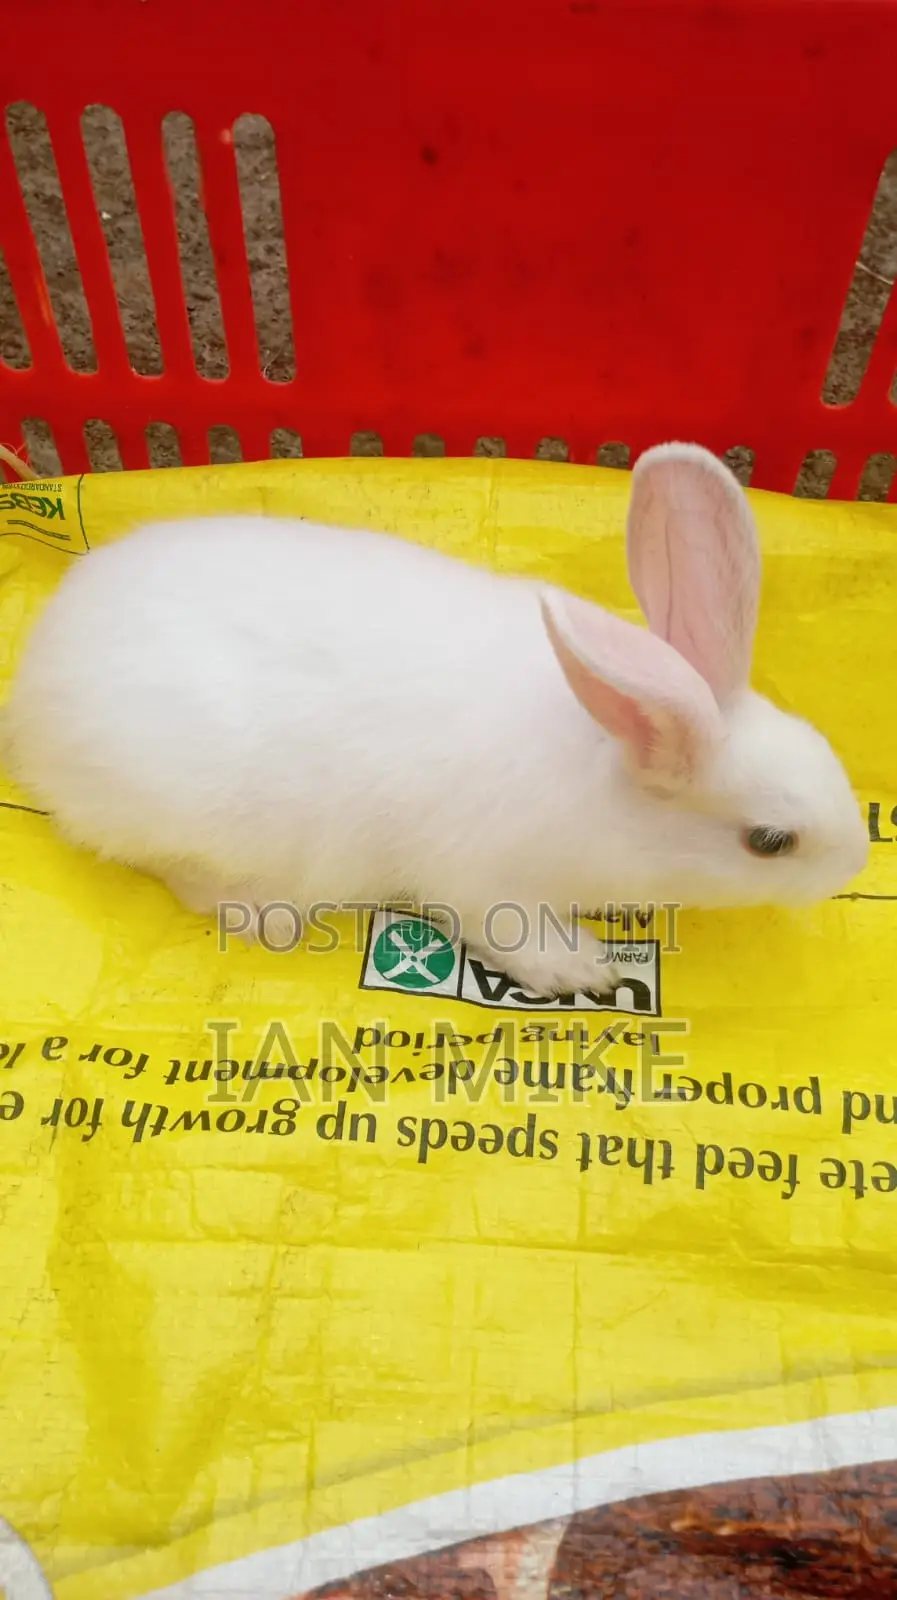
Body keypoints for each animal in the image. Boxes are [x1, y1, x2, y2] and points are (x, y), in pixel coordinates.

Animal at [0, 443, 869, 999]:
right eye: (769, 842)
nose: (856, 863)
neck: (603, 765)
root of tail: (34, 681)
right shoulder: (486, 882)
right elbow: (512, 932)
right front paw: (583, 972)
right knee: (178, 872)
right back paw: (266, 916)